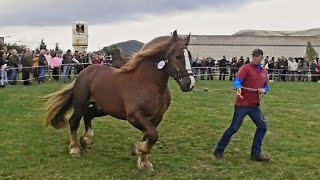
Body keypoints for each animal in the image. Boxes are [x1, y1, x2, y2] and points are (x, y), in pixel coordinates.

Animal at [44, 30, 195, 172]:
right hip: (80, 103)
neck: (147, 83)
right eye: (177, 56)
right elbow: (153, 135)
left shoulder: (156, 118)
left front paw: (143, 162)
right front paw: (137, 150)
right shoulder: (134, 117)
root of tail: (85, 71)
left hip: (102, 108)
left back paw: (86, 139)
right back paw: (74, 149)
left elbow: (149, 136)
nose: (189, 84)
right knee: (74, 121)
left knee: (88, 114)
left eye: (190, 56)